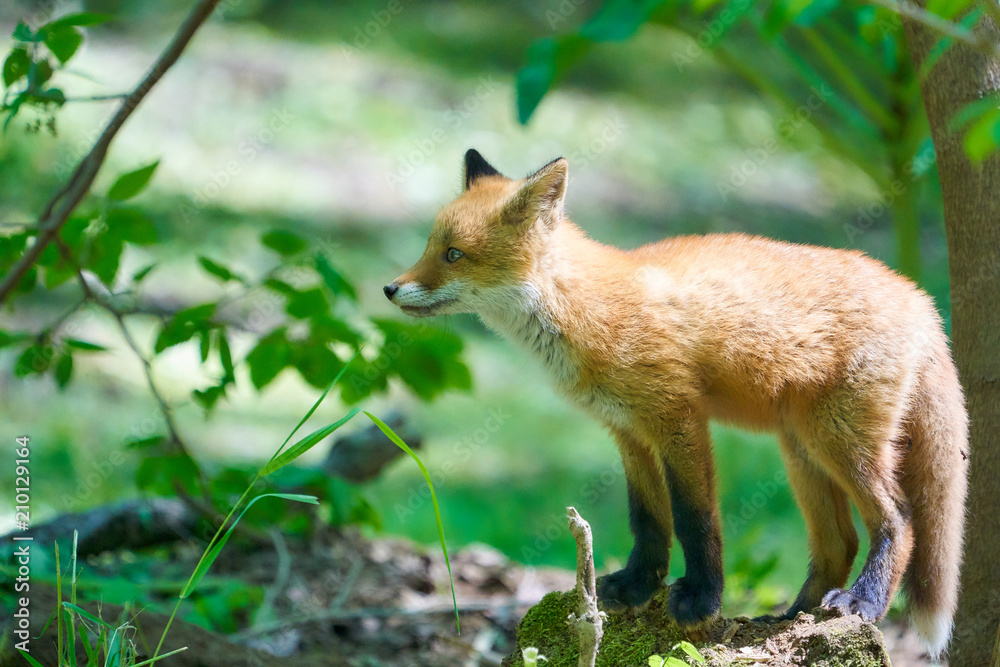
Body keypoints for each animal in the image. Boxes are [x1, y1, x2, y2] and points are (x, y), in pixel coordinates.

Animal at [382, 149, 968, 656]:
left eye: (454, 255)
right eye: (430, 247)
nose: (390, 288)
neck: (587, 309)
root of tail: (919, 296)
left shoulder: (678, 416)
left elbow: (694, 517)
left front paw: (701, 600)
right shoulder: (628, 430)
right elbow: (648, 520)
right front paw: (637, 587)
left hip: (840, 442)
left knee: (900, 519)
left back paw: (862, 602)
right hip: (802, 452)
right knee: (838, 542)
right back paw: (790, 618)